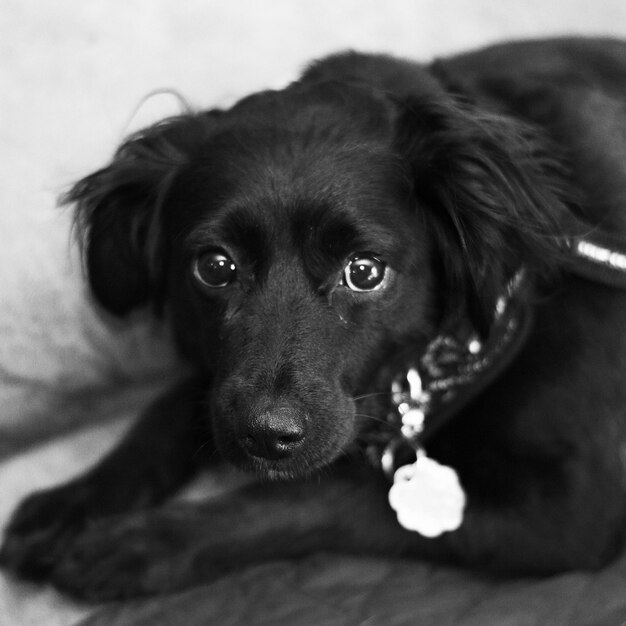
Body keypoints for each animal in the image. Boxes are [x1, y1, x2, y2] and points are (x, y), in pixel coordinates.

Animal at [3, 35, 624, 600]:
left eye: (365, 272)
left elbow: (318, 496)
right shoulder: (225, 387)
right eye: (215, 267)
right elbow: (173, 403)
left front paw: (140, 544)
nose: (266, 435)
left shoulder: (566, 511)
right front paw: (73, 501)